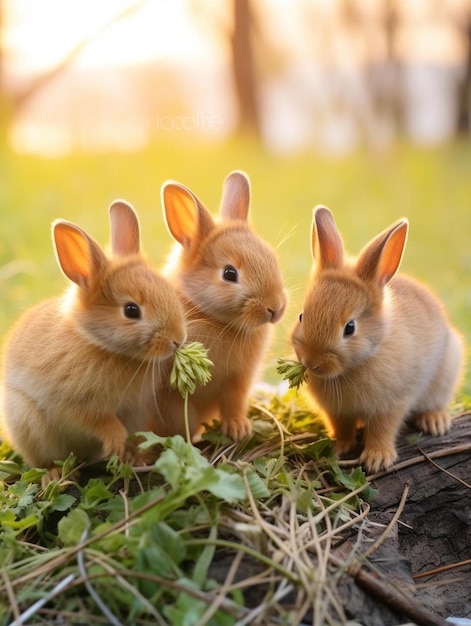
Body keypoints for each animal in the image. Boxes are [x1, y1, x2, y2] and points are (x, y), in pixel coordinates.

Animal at [0, 202, 187, 476]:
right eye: (131, 310)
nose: (178, 340)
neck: (100, 344)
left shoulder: (135, 411)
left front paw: (133, 457)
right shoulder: (75, 404)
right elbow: (100, 422)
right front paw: (116, 443)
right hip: (26, 421)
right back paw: (56, 475)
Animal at [155, 169, 288, 438]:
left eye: (271, 257)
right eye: (229, 273)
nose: (275, 308)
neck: (213, 319)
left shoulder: (238, 380)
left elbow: (233, 403)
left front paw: (238, 429)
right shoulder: (171, 396)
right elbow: (180, 418)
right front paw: (188, 438)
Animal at [292, 206, 464, 472]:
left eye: (350, 328)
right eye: (301, 316)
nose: (311, 363)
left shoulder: (391, 404)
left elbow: (383, 430)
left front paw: (377, 459)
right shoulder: (337, 411)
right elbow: (342, 426)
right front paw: (340, 446)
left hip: (446, 371)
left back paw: (435, 421)